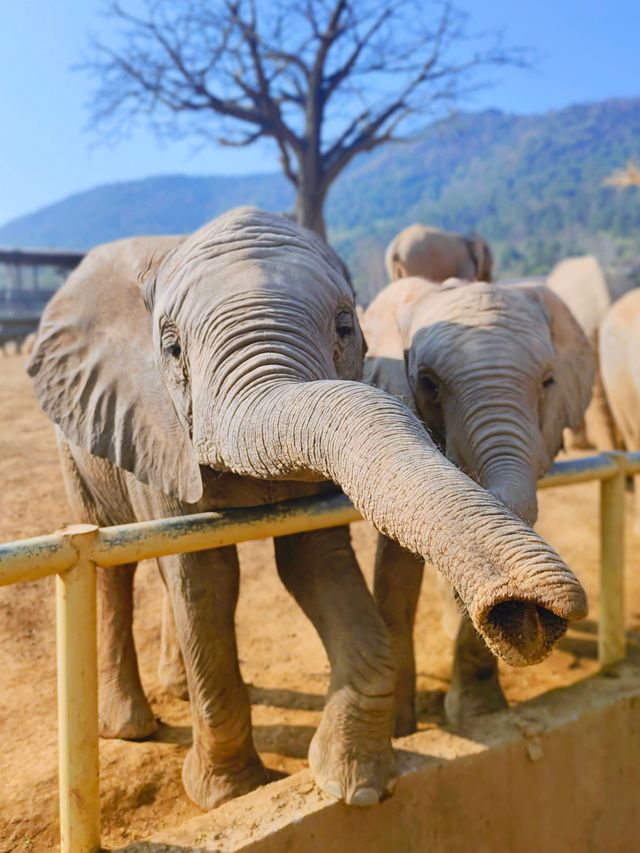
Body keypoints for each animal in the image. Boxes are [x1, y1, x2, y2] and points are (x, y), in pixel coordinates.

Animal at [362, 278, 592, 732]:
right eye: (428, 384)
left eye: (548, 382)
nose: (537, 620)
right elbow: (395, 568)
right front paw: (399, 731)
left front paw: (480, 713)